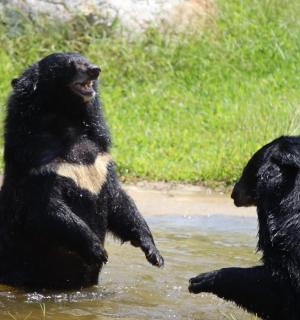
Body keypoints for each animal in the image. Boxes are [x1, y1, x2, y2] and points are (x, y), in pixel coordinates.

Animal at [0, 52, 164, 290]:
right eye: (71, 64)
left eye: (86, 59)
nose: (95, 70)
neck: (67, 121)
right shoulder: (38, 164)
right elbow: (47, 209)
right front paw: (99, 251)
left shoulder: (100, 160)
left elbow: (120, 202)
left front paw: (154, 253)